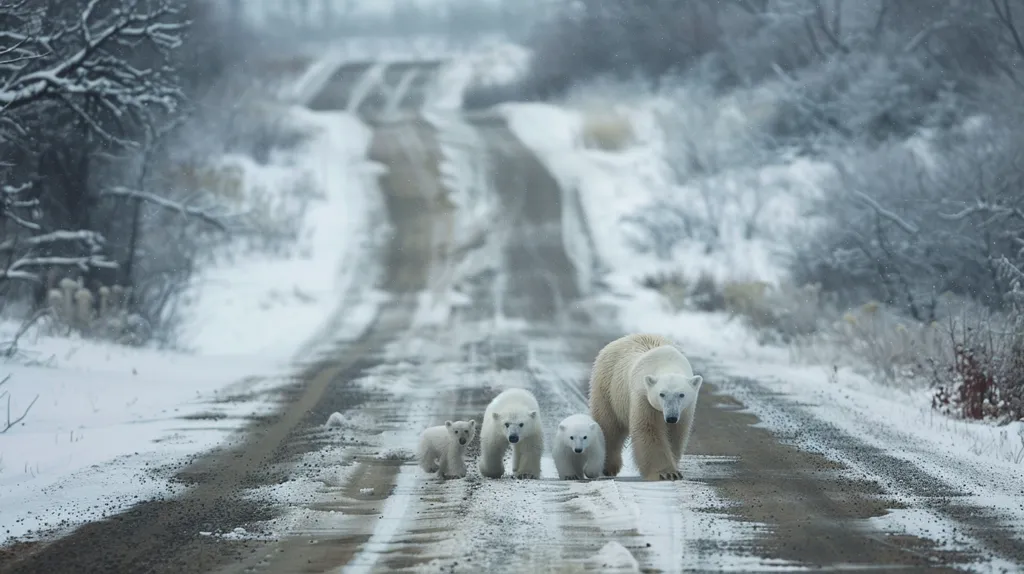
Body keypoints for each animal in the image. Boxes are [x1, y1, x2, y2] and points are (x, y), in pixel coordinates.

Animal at [588, 333, 703, 481]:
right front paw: (666, 473)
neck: (667, 362)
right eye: (661, 394)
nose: (671, 417)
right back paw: (608, 467)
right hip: (608, 387)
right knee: (608, 425)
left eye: (681, 394)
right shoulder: (644, 396)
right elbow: (649, 429)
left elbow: (676, 433)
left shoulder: (685, 410)